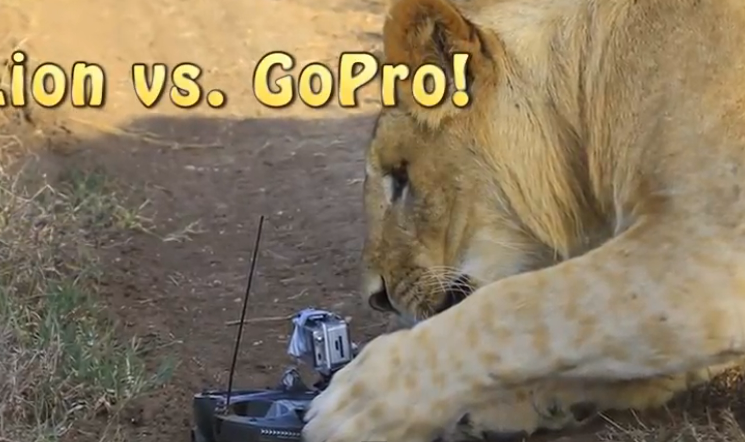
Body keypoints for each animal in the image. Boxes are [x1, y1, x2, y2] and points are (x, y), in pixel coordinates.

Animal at [301, 0, 745, 441]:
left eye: (401, 175)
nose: (375, 297)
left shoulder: (707, 242)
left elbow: (518, 309)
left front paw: (362, 401)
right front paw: (516, 404)